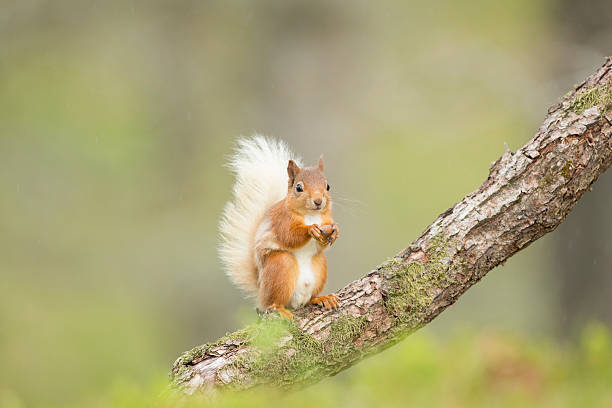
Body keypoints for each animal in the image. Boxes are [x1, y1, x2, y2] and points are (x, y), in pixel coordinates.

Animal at [219, 135, 340, 320]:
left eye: (328, 186)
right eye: (299, 187)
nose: (319, 201)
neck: (311, 215)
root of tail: (261, 292)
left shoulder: (326, 219)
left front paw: (335, 231)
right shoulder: (281, 220)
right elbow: (288, 236)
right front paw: (310, 230)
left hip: (320, 265)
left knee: (309, 298)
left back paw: (321, 298)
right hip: (281, 266)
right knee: (274, 302)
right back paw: (280, 309)